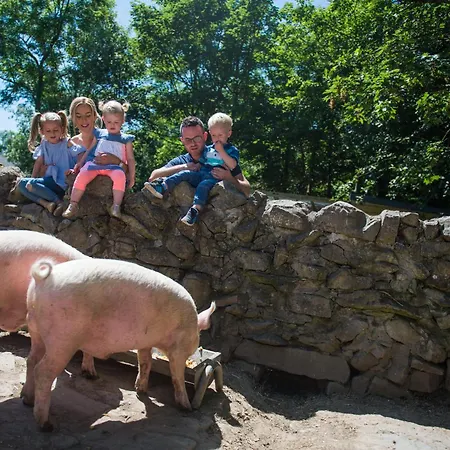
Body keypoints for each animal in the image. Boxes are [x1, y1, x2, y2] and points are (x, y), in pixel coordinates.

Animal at [21, 257, 216, 431]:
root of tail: (42, 280)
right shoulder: (178, 349)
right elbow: (177, 376)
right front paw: (187, 407)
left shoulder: (145, 342)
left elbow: (145, 362)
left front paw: (141, 390)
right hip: (62, 339)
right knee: (42, 372)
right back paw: (46, 425)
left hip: (36, 331)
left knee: (31, 360)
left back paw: (27, 400)